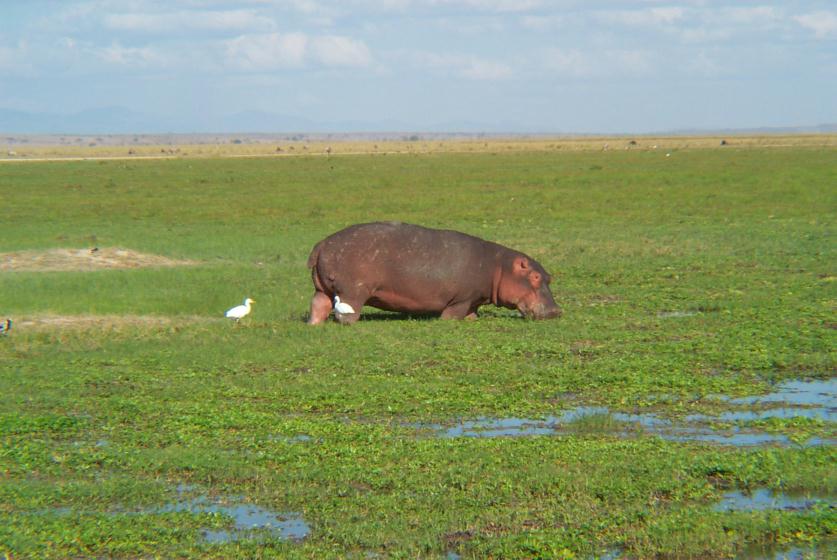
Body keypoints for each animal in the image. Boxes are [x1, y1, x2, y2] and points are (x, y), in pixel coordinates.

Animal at [306, 222, 561, 324]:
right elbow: (453, 315)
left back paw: (314, 325)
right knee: (346, 313)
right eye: (535, 277)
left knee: (318, 306)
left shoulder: (473, 300)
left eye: (550, 277)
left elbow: (472, 314)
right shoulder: (461, 299)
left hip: (322, 290)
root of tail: (321, 243)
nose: (556, 311)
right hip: (353, 292)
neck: (499, 266)